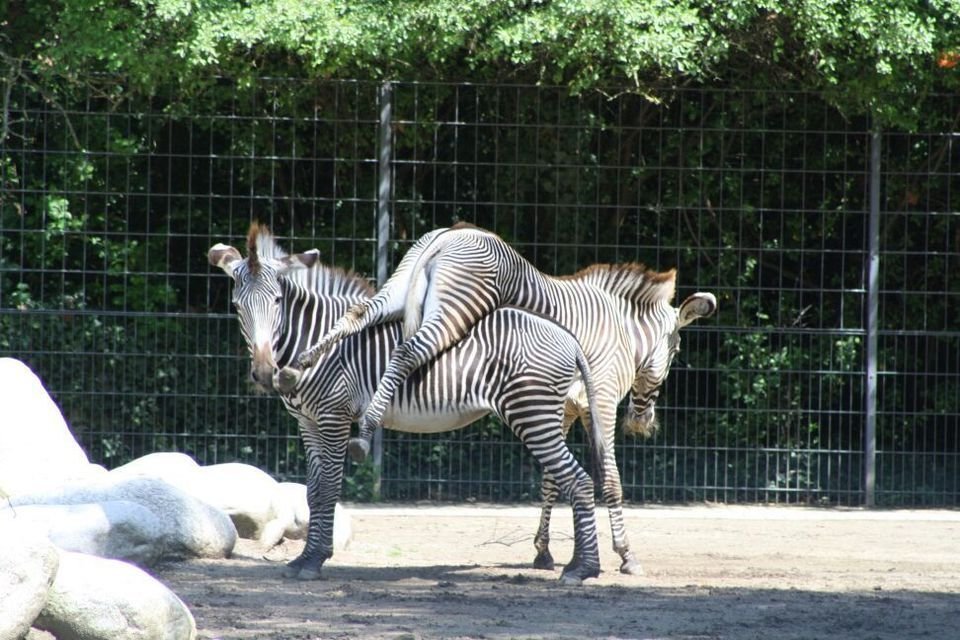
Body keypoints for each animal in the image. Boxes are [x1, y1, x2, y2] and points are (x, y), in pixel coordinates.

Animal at [211, 225, 612, 584]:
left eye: (278, 302)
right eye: (236, 306)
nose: (265, 373)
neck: (311, 336)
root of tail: (569, 338)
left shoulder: (332, 418)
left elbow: (327, 488)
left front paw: (313, 561)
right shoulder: (307, 423)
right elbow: (312, 492)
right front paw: (304, 558)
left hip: (532, 414)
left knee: (578, 480)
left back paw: (583, 569)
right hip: (543, 413)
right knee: (574, 480)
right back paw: (578, 563)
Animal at [282, 224, 716, 576]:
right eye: (677, 349)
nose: (643, 423)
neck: (621, 330)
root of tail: (451, 234)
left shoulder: (562, 409)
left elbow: (552, 480)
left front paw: (546, 553)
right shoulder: (602, 401)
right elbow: (607, 477)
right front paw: (626, 556)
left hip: (400, 286)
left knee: (359, 313)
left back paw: (302, 362)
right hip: (455, 308)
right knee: (407, 350)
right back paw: (365, 420)